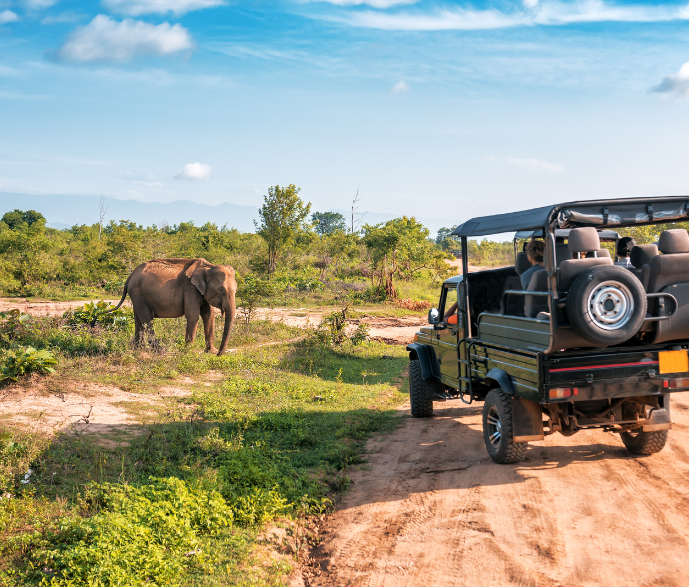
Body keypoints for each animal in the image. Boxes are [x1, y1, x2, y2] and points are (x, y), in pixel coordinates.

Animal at [97, 256, 236, 354]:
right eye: (221, 290)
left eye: (236, 290)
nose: (219, 354)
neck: (209, 267)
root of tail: (129, 277)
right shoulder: (190, 288)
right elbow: (193, 315)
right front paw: (187, 351)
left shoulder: (201, 292)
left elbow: (208, 315)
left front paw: (210, 352)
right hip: (138, 294)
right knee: (147, 318)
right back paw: (159, 350)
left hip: (136, 295)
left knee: (138, 319)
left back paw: (138, 349)